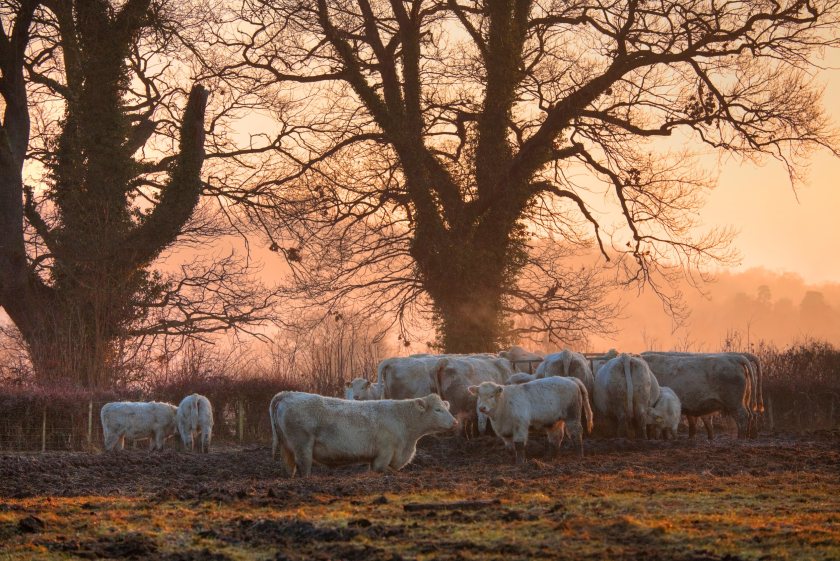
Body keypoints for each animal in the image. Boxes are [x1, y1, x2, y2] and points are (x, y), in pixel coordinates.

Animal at [270, 390, 456, 476]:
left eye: (446, 407)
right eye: (438, 409)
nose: (455, 422)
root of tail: (288, 394)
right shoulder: (385, 452)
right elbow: (383, 470)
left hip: (287, 447)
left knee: (289, 468)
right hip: (303, 446)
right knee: (304, 467)